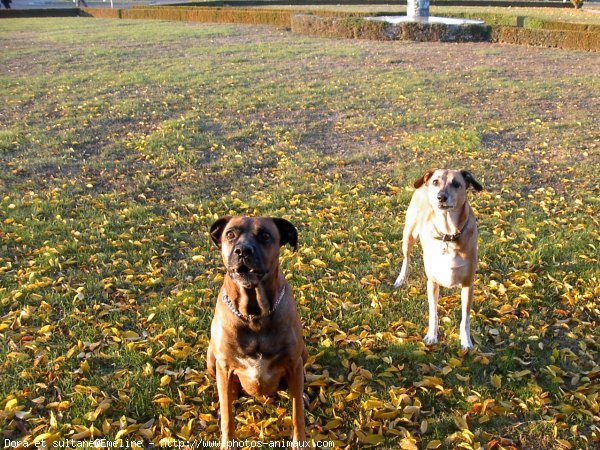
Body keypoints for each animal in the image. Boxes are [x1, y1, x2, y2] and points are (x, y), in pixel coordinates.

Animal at [207, 214, 308, 446]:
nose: (243, 250)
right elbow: (228, 418)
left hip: (304, 354)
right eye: (230, 234)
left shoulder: (294, 363)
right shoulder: (224, 366)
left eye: (265, 235)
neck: (254, 315)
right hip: (211, 358)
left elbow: (297, 414)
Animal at [394, 169, 482, 348]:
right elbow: (433, 312)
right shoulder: (432, 281)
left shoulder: (468, 284)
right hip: (408, 234)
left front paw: (466, 340)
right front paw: (432, 335)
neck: (448, 234)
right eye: (436, 182)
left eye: (456, 183)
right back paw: (401, 278)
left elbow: (465, 318)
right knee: (406, 257)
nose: (441, 197)